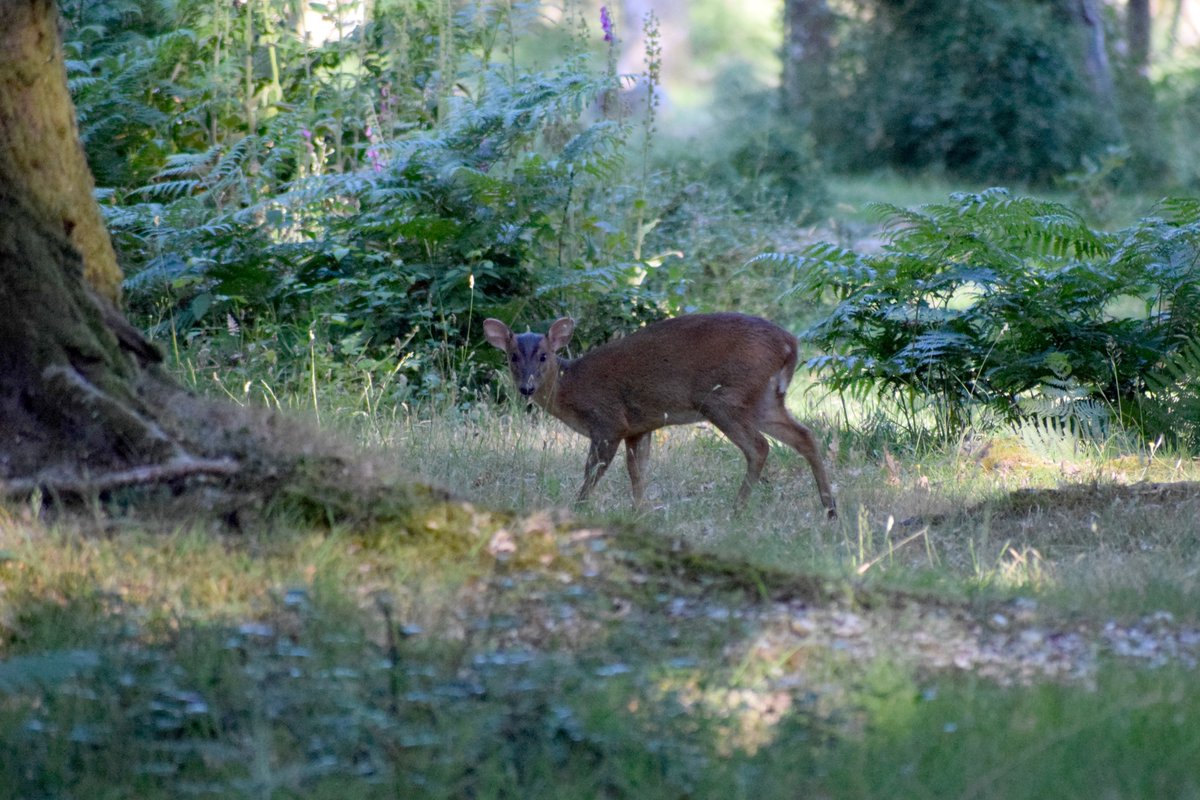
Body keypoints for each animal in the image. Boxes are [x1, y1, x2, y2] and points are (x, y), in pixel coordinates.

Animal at [480, 311, 835, 520]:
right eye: (512, 357)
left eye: (543, 356)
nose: (526, 388)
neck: (572, 388)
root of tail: (790, 344)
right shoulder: (639, 426)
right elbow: (638, 472)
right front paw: (641, 511)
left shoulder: (608, 421)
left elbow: (593, 470)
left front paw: (577, 509)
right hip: (764, 399)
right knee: (805, 436)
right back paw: (830, 508)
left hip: (723, 398)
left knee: (760, 447)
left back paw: (735, 511)